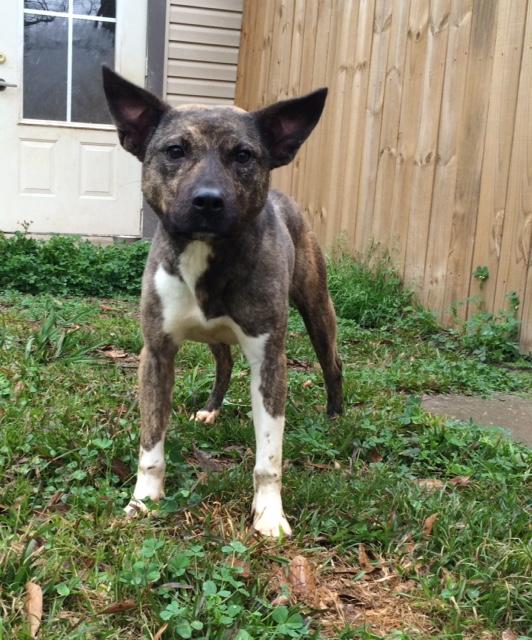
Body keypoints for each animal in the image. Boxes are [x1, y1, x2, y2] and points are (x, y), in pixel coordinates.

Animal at [102, 66, 342, 536]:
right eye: (175, 150)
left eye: (244, 155)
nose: (208, 200)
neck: (207, 256)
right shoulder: (156, 354)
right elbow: (151, 443)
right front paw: (144, 500)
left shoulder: (270, 360)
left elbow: (269, 456)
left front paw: (269, 514)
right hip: (213, 337)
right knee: (224, 363)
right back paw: (211, 410)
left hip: (316, 307)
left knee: (332, 361)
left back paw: (337, 418)